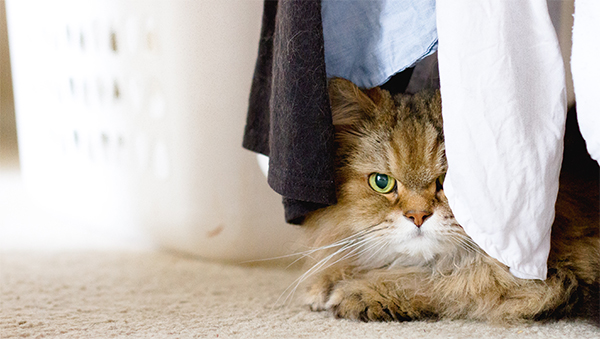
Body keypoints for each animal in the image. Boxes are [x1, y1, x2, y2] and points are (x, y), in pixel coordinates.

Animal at [302, 78, 596, 326]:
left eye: (451, 181)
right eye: (382, 182)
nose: (417, 216)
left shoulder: (545, 279)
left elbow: (445, 281)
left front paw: (360, 290)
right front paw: (324, 280)